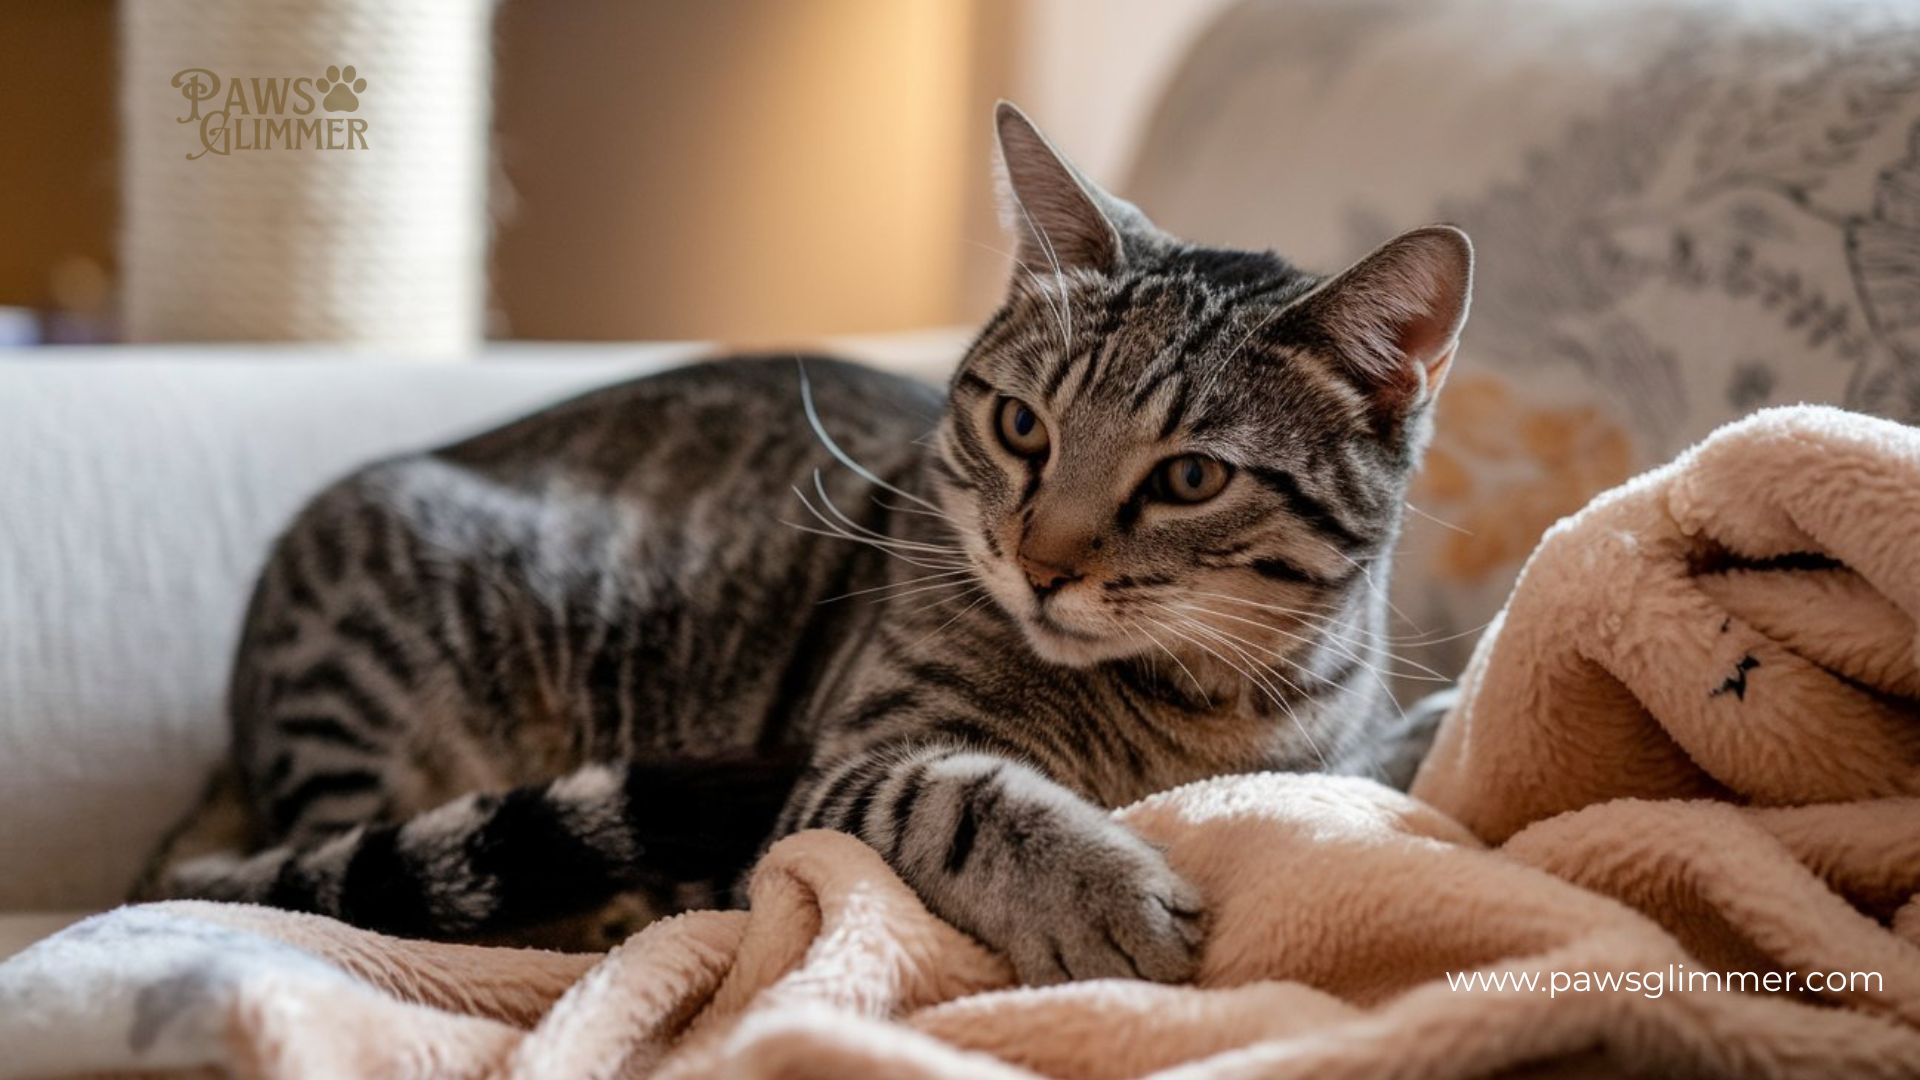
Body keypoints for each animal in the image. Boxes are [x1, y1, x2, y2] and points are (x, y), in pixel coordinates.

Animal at [145, 102, 1466, 983]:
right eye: (1021, 426)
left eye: (1190, 476)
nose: (1041, 563)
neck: (1184, 711)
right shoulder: (840, 772)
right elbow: (963, 797)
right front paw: (1108, 893)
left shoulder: (1320, 754)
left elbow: (1366, 767)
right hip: (377, 683)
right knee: (353, 889)